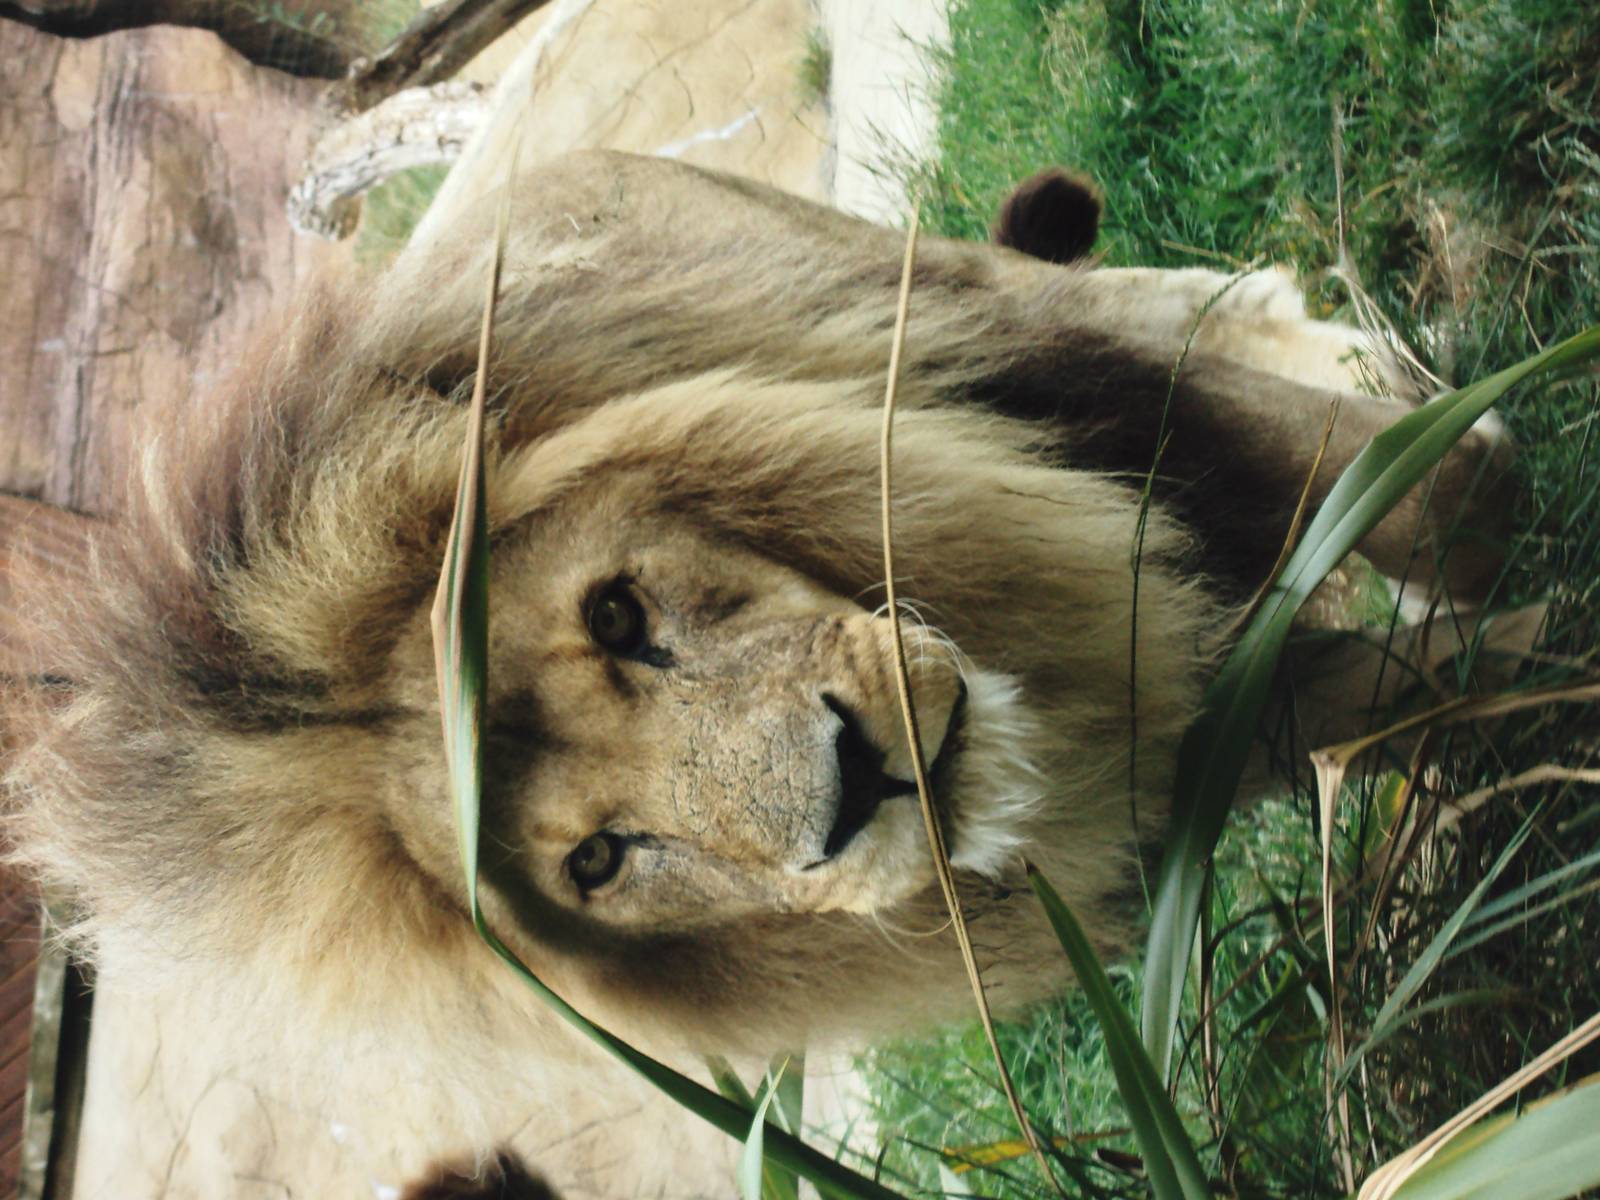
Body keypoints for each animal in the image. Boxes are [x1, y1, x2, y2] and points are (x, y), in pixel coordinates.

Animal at [1, 151, 1514, 1196]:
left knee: (1159, 295)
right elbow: (1408, 682)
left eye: (616, 612)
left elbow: (1445, 507)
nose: (857, 785)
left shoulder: (1118, 410)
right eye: (599, 862)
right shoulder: (1202, 740)